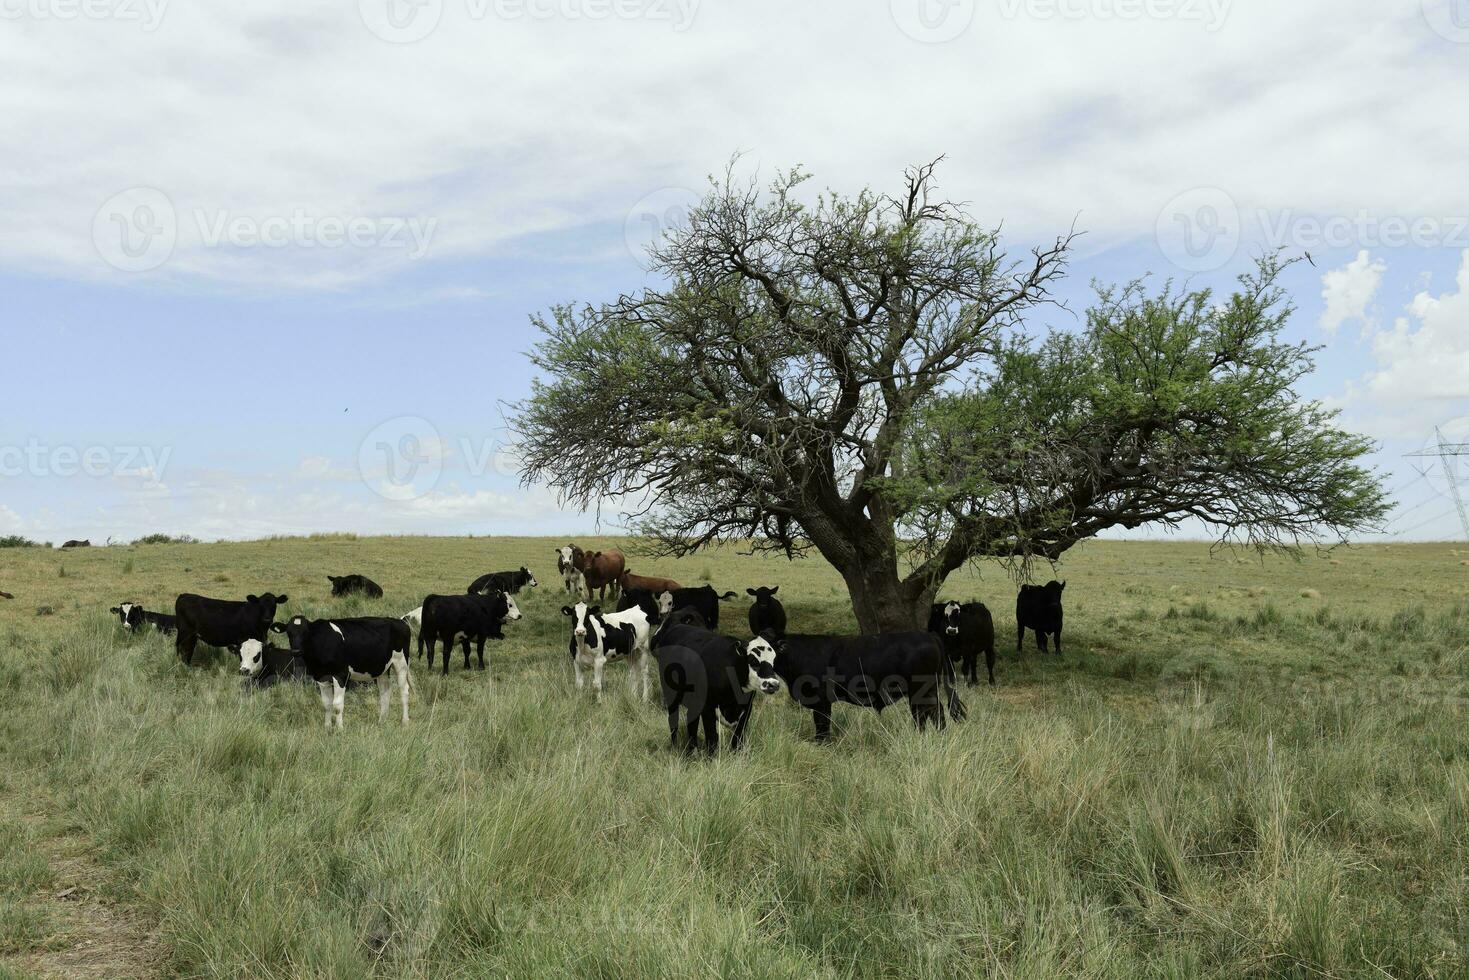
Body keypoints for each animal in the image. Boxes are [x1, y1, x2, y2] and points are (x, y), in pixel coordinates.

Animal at [243, 617, 411, 731]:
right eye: (289, 633)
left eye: (306, 633)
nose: (296, 651)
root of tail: (399, 621)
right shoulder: (321, 677)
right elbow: (327, 704)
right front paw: (327, 727)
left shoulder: (341, 675)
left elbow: (337, 705)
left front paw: (340, 729)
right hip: (382, 668)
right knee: (385, 692)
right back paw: (382, 721)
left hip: (401, 663)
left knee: (404, 691)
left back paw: (405, 721)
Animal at [655, 625, 787, 758]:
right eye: (753, 661)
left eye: (773, 661)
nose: (773, 684)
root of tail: (677, 627)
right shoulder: (707, 708)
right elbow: (712, 738)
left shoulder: (747, 708)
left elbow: (737, 739)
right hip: (671, 696)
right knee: (673, 722)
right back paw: (675, 747)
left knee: (691, 723)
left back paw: (693, 752)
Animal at [769, 631, 963, 740]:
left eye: (769, 648)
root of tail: (929, 635)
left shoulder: (821, 701)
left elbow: (822, 724)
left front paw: (821, 743)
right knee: (927, 713)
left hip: (921, 691)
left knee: (930, 712)